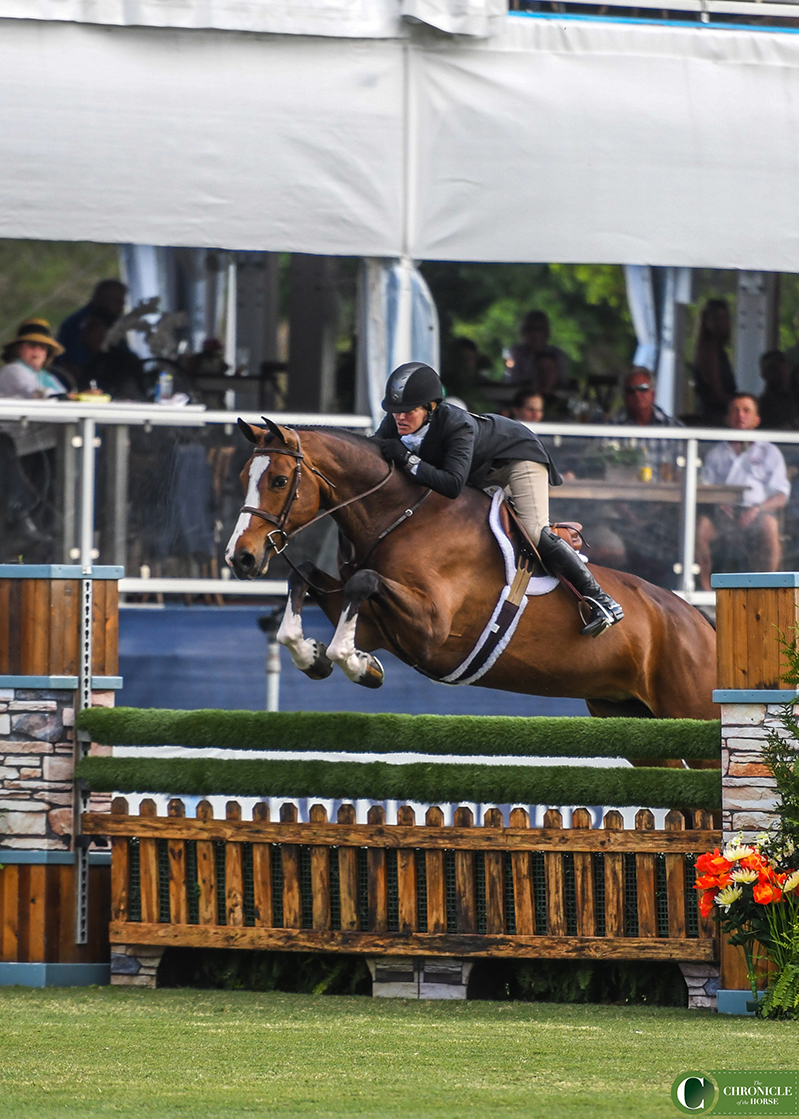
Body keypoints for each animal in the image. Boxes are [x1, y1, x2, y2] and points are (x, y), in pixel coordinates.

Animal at [224, 420, 720, 725]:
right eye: (245, 475)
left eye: (279, 481)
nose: (239, 558)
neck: (399, 516)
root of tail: (700, 623)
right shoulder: (380, 624)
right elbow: (306, 576)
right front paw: (316, 655)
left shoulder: (431, 629)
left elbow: (362, 582)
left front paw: (354, 662)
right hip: (627, 715)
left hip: (693, 710)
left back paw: (603, 608)